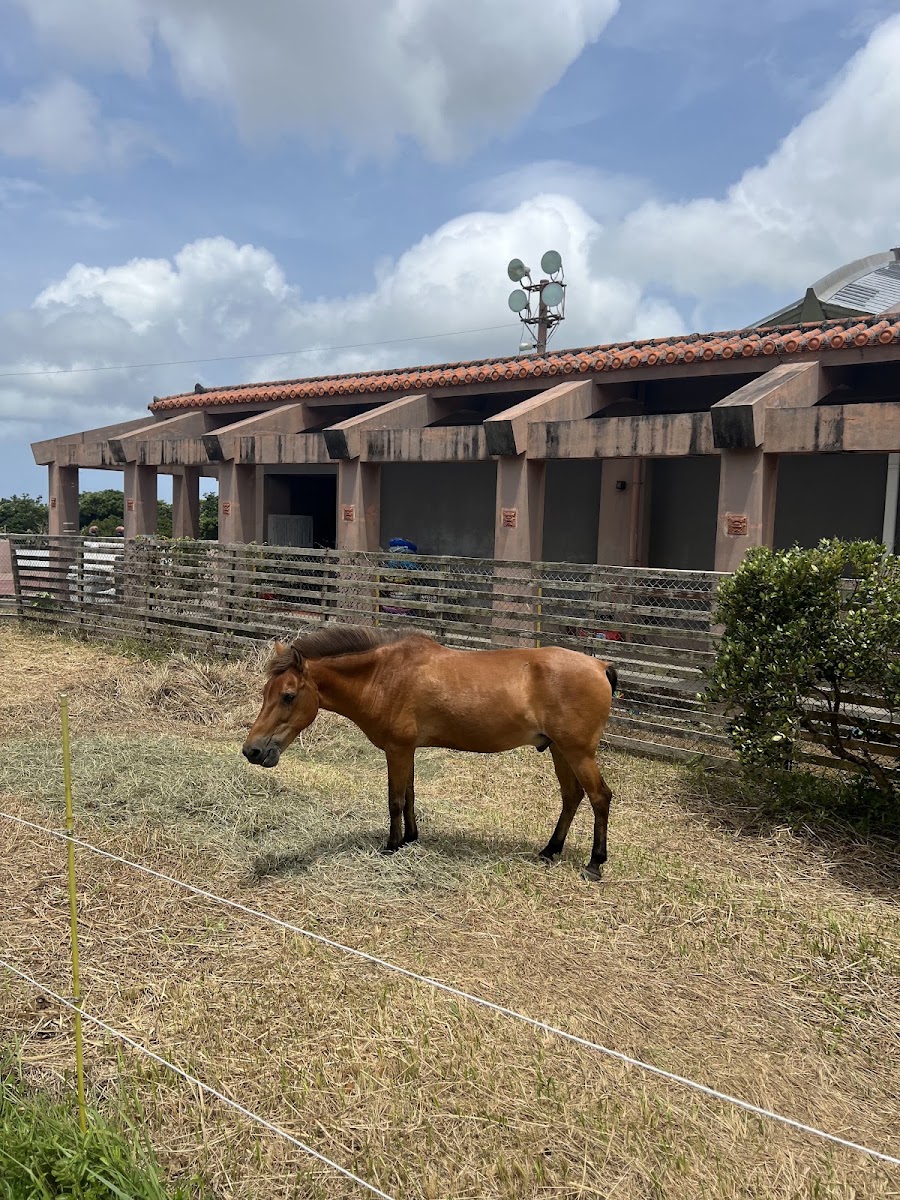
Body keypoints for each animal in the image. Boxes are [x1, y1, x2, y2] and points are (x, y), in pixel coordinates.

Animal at [242, 626, 618, 880]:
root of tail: (599, 665)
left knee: (599, 797)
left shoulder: (397, 749)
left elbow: (395, 799)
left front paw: (392, 845)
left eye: (288, 696)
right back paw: (550, 850)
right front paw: (410, 839)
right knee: (571, 796)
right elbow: (409, 795)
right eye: (265, 692)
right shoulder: (406, 750)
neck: (384, 676)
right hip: (560, 751)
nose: (252, 750)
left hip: (578, 752)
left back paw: (595, 863)